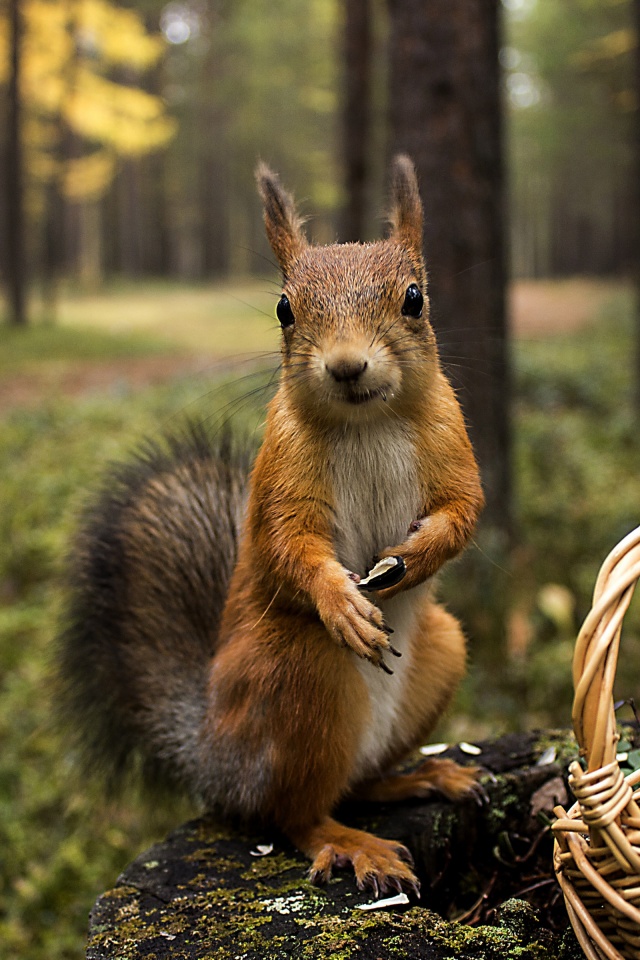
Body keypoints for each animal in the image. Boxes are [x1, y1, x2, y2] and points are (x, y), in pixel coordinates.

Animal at [56, 154, 484, 896]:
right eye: (285, 309)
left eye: (414, 299)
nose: (346, 365)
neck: (369, 422)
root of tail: (214, 758)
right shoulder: (282, 475)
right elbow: (290, 546)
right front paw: (343, 601)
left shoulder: (452, 445)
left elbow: (463, 511)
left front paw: (416, 557)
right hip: (297, 674)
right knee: (294, 812)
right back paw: (351, 843)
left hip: (441, 652)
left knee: (355, 784)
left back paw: (421, 777)